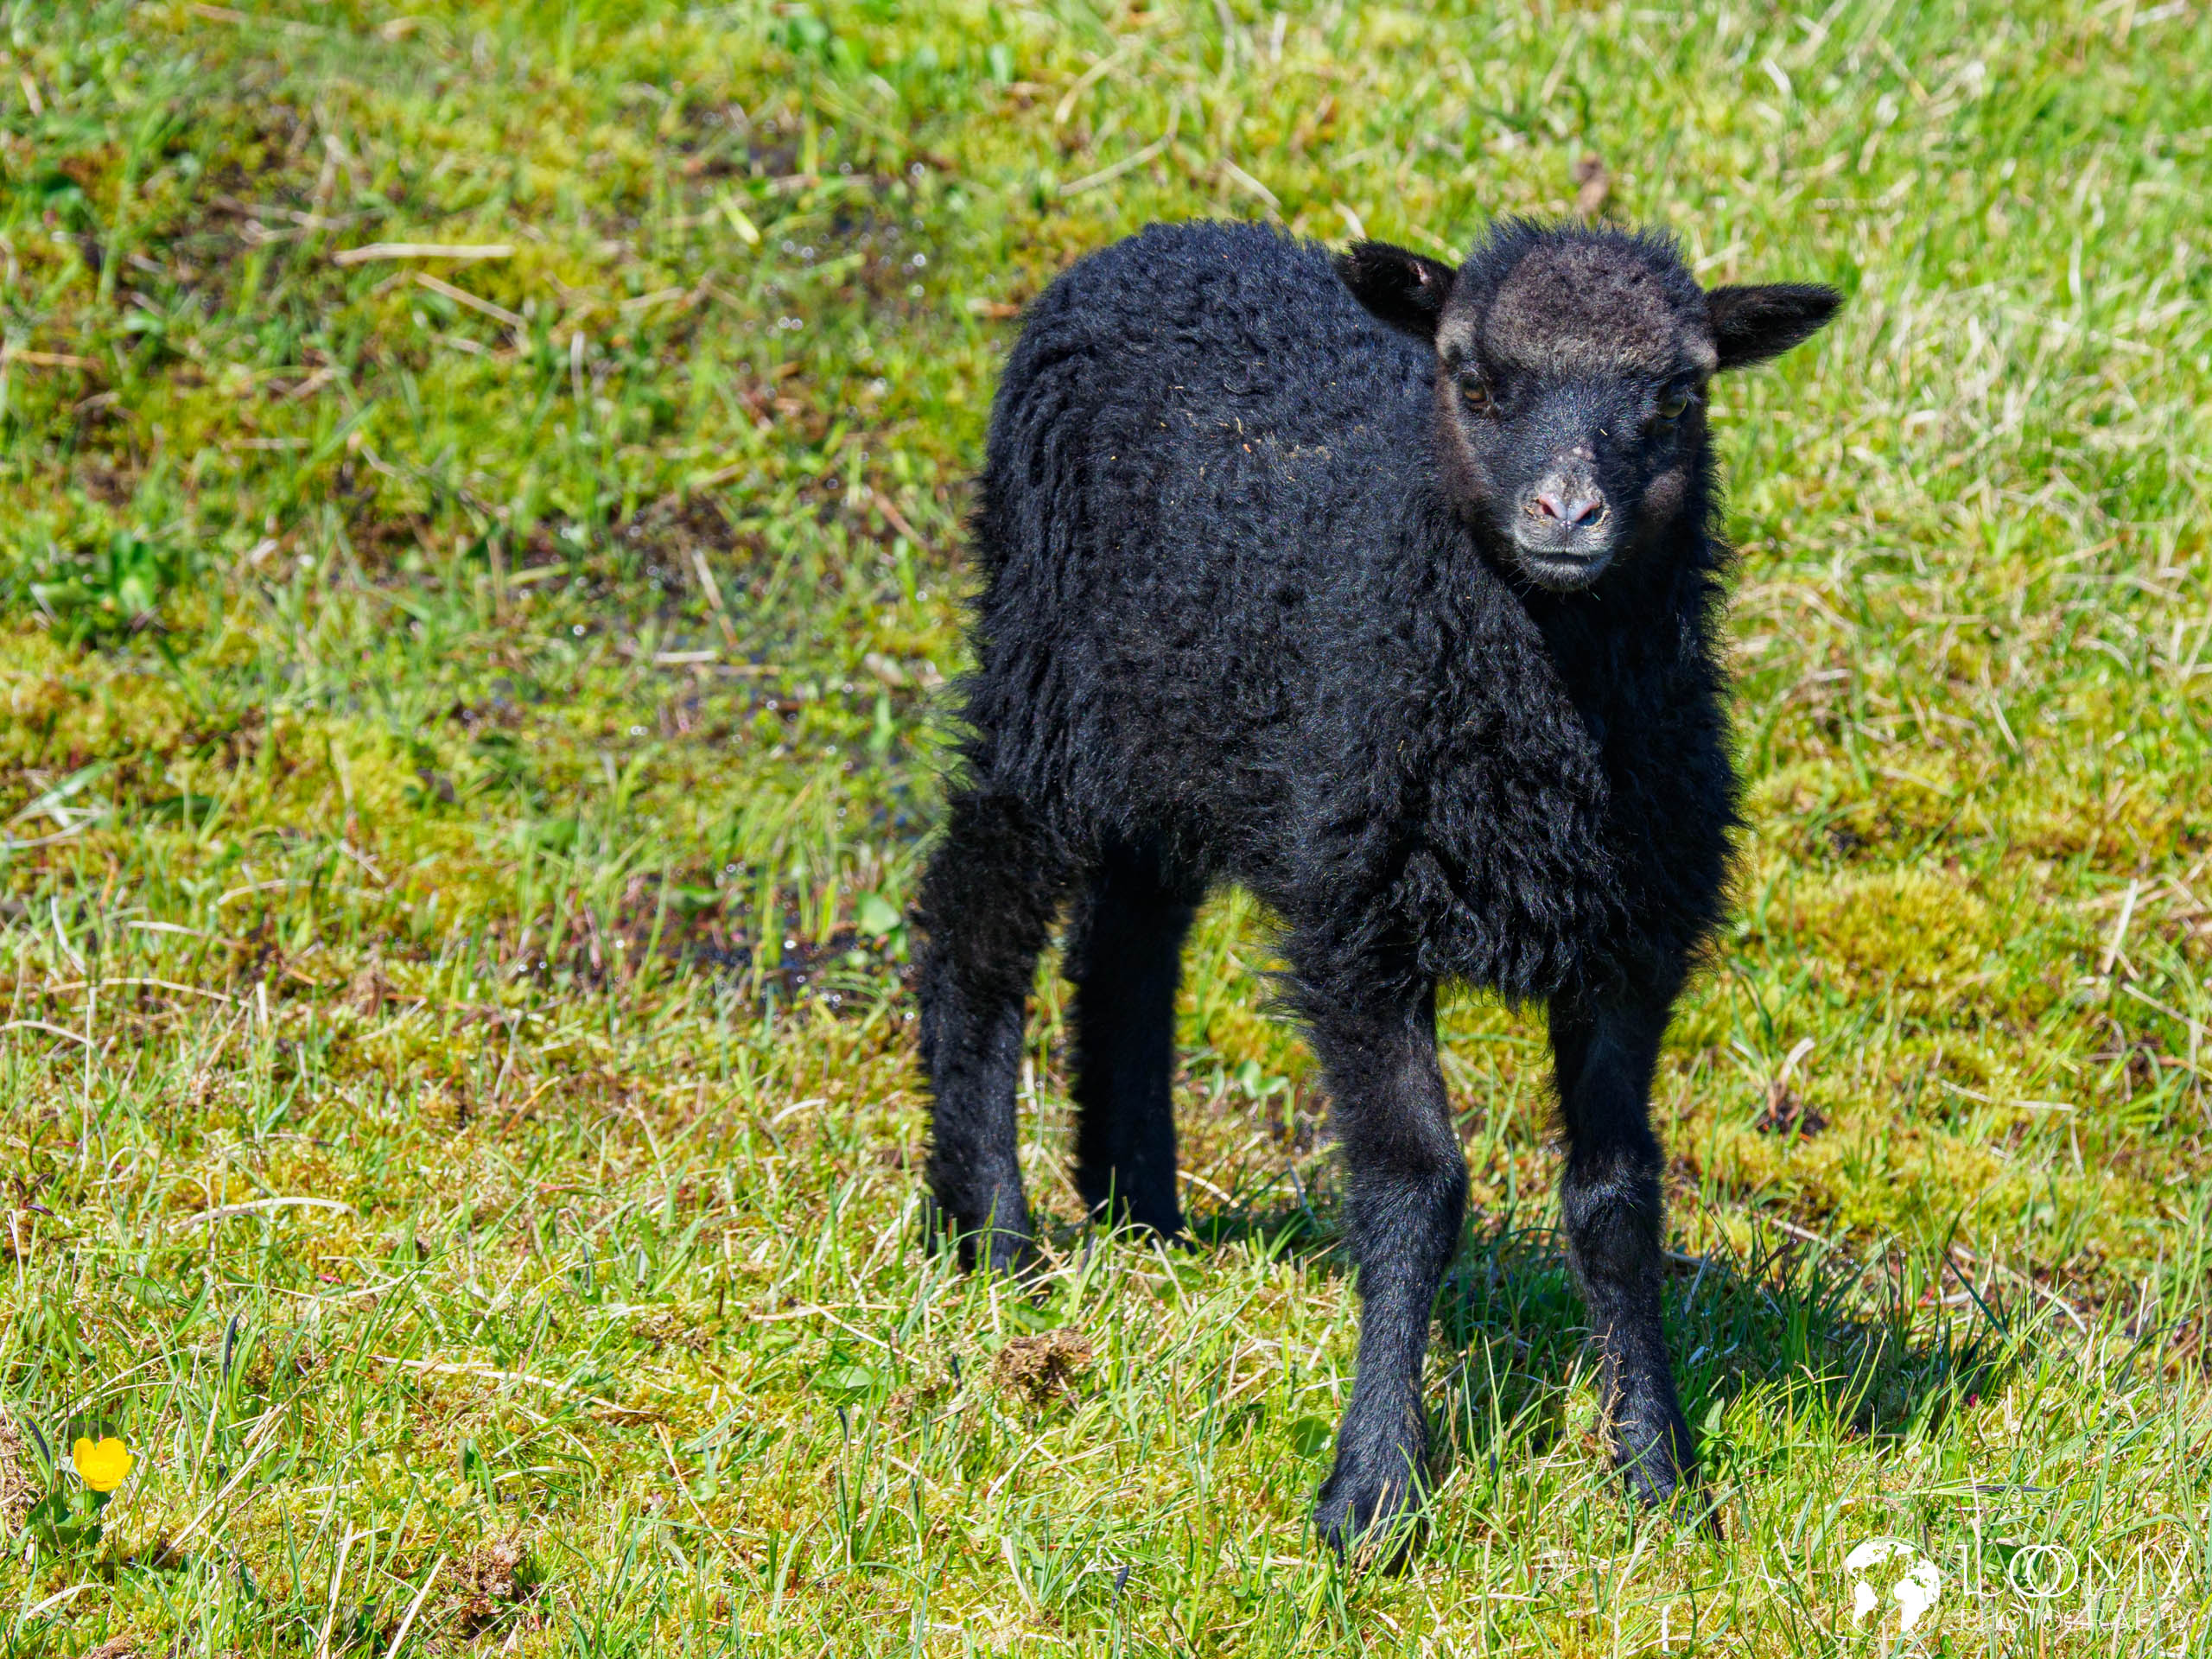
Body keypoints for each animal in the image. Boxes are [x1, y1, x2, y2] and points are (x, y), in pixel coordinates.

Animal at [913, 217, 1838, 1557]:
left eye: (1677, 396)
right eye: (1474, 381)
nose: (1569, 511)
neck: (1532, 752)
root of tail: (1162, 238)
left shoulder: (1628, 950)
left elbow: (1616, 1200)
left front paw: (1660, 1480)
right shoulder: (1363, 929)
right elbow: (1417, 1186)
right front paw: (1372, 1493)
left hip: (1186, 732)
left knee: (1130, 938)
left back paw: (1141, 1210)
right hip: (1047, 685)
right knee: (974, 922)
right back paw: (993, 1237)